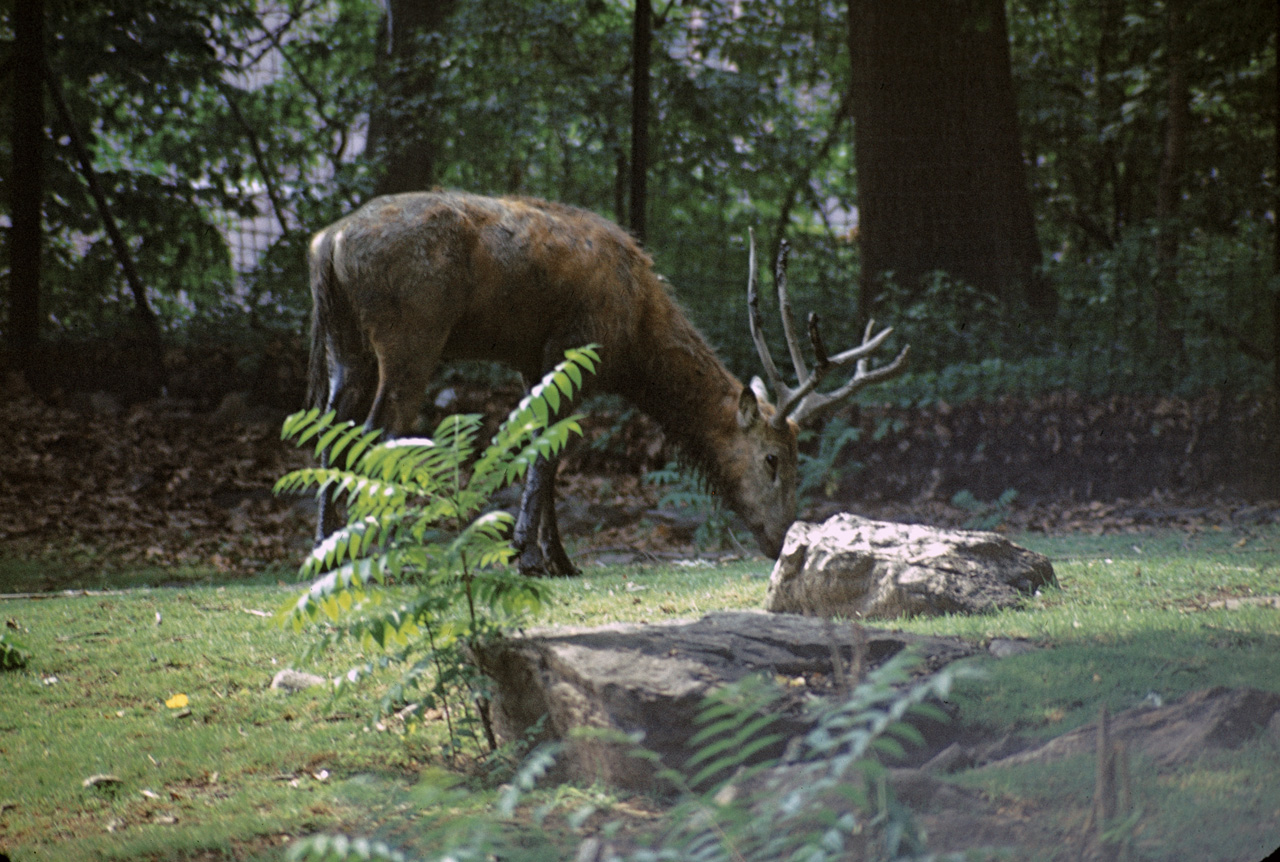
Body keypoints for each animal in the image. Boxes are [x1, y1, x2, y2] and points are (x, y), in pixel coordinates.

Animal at [307, 192, 911, 573]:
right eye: (772, 459)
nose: (782, 536)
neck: (636, 342)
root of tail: (327, 243)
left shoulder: (535, 361)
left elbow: (544, 449)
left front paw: (556, 559)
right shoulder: (580, 348)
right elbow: (547, 455)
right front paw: (530, 556)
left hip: (343, 347)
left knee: (329, 430)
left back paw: (323, 551)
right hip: (411, 336)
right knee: (373, 435)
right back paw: (374, 555)